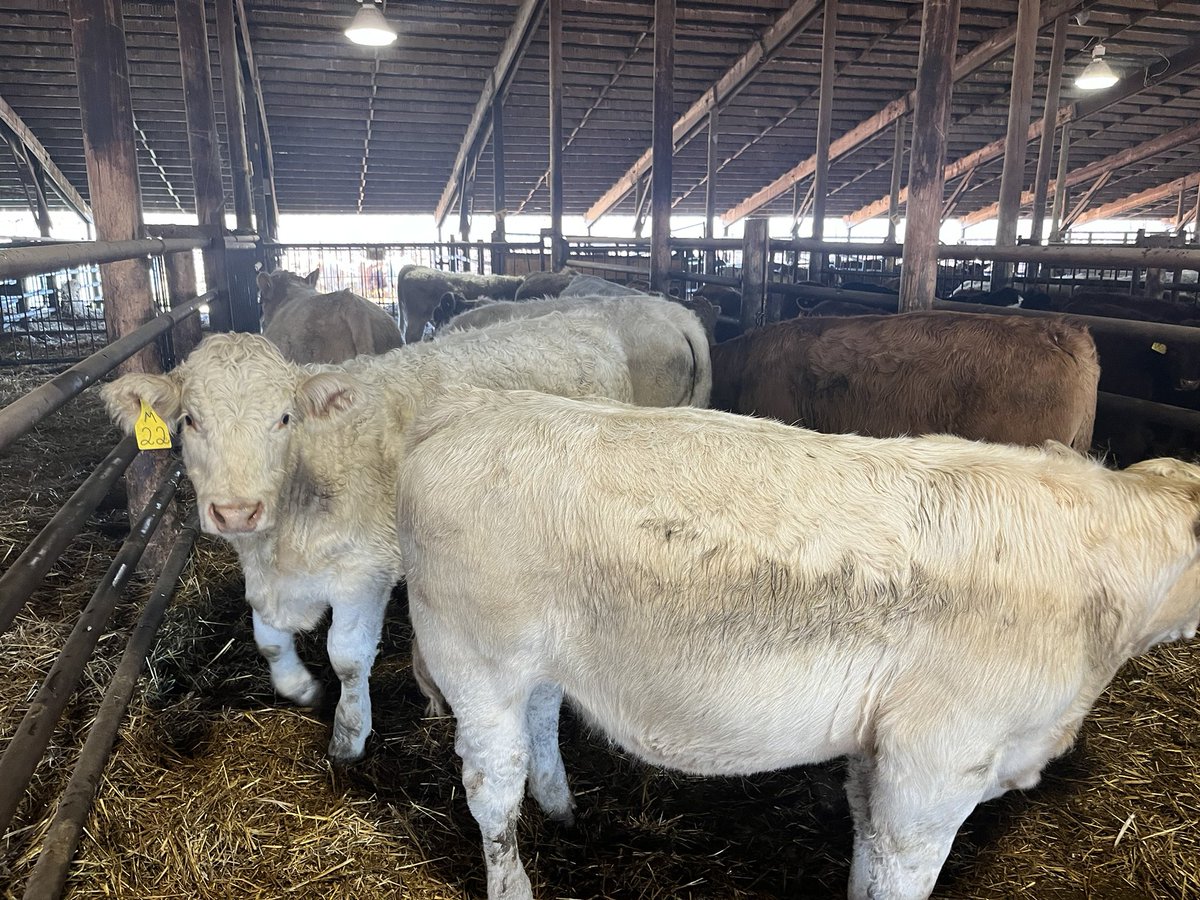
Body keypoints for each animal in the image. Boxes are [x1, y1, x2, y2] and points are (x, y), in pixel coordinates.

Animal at [396, 385, 1200, 900]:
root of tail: (469, 409)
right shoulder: (937, 760)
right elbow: (902, 871)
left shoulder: (881, 751)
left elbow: (867, 853)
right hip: (479, 666)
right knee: (492, 791)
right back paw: (514, 884)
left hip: (536, 663)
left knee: (540, 723)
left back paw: (563, 810)